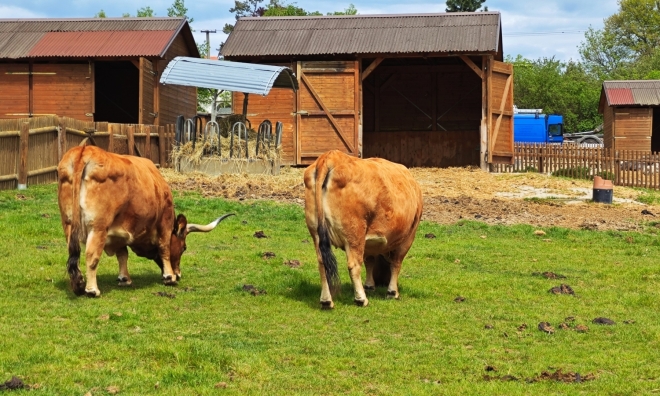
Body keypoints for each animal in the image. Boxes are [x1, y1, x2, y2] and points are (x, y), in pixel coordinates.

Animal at [57, 144, 232, 296]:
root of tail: (84, 149)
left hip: (68, 224)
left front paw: (124, 278)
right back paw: (92, 290)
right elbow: (164, 248)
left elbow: (123, 254)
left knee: (73, 253)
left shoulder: (119, 231)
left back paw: (78, 284)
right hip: (98, 227)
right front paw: (169, 277)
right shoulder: (164, 223)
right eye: (184, 248)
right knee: (92, 256)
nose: (179, 274)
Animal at [304, 150, 422, 308]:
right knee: (354, 265)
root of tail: (331, 156)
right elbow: (396, 263)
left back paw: (326, 301)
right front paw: (392, 292)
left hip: (317, 234)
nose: (381, 282)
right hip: (354, 234)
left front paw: (370, 285)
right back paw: (361, 299)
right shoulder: (407, 238)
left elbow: (370, 260)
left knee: (322, 263)